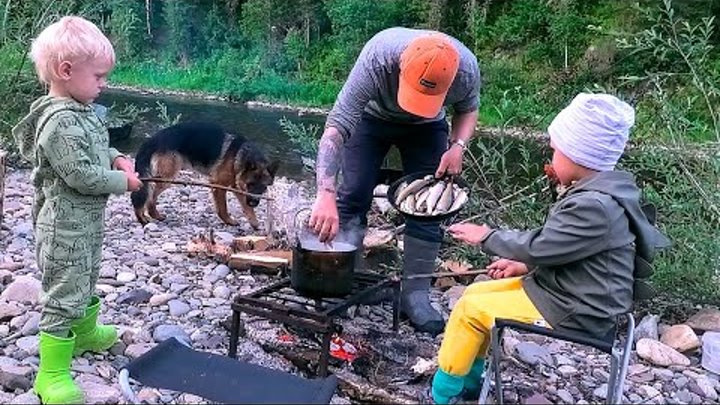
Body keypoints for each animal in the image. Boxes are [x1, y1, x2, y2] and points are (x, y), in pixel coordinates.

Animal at [129, 120, 278, 227]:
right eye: (250, 184)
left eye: (263, 187)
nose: (254, 203)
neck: (239, 154)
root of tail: (152, 139)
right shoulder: (219, 185)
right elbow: (223, 207)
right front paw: (228, 221)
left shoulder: (238, 187)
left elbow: (247, 207)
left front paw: (254, 223)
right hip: (167, 178)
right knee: (148, 196)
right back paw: (145, 216)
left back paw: (152, 216)